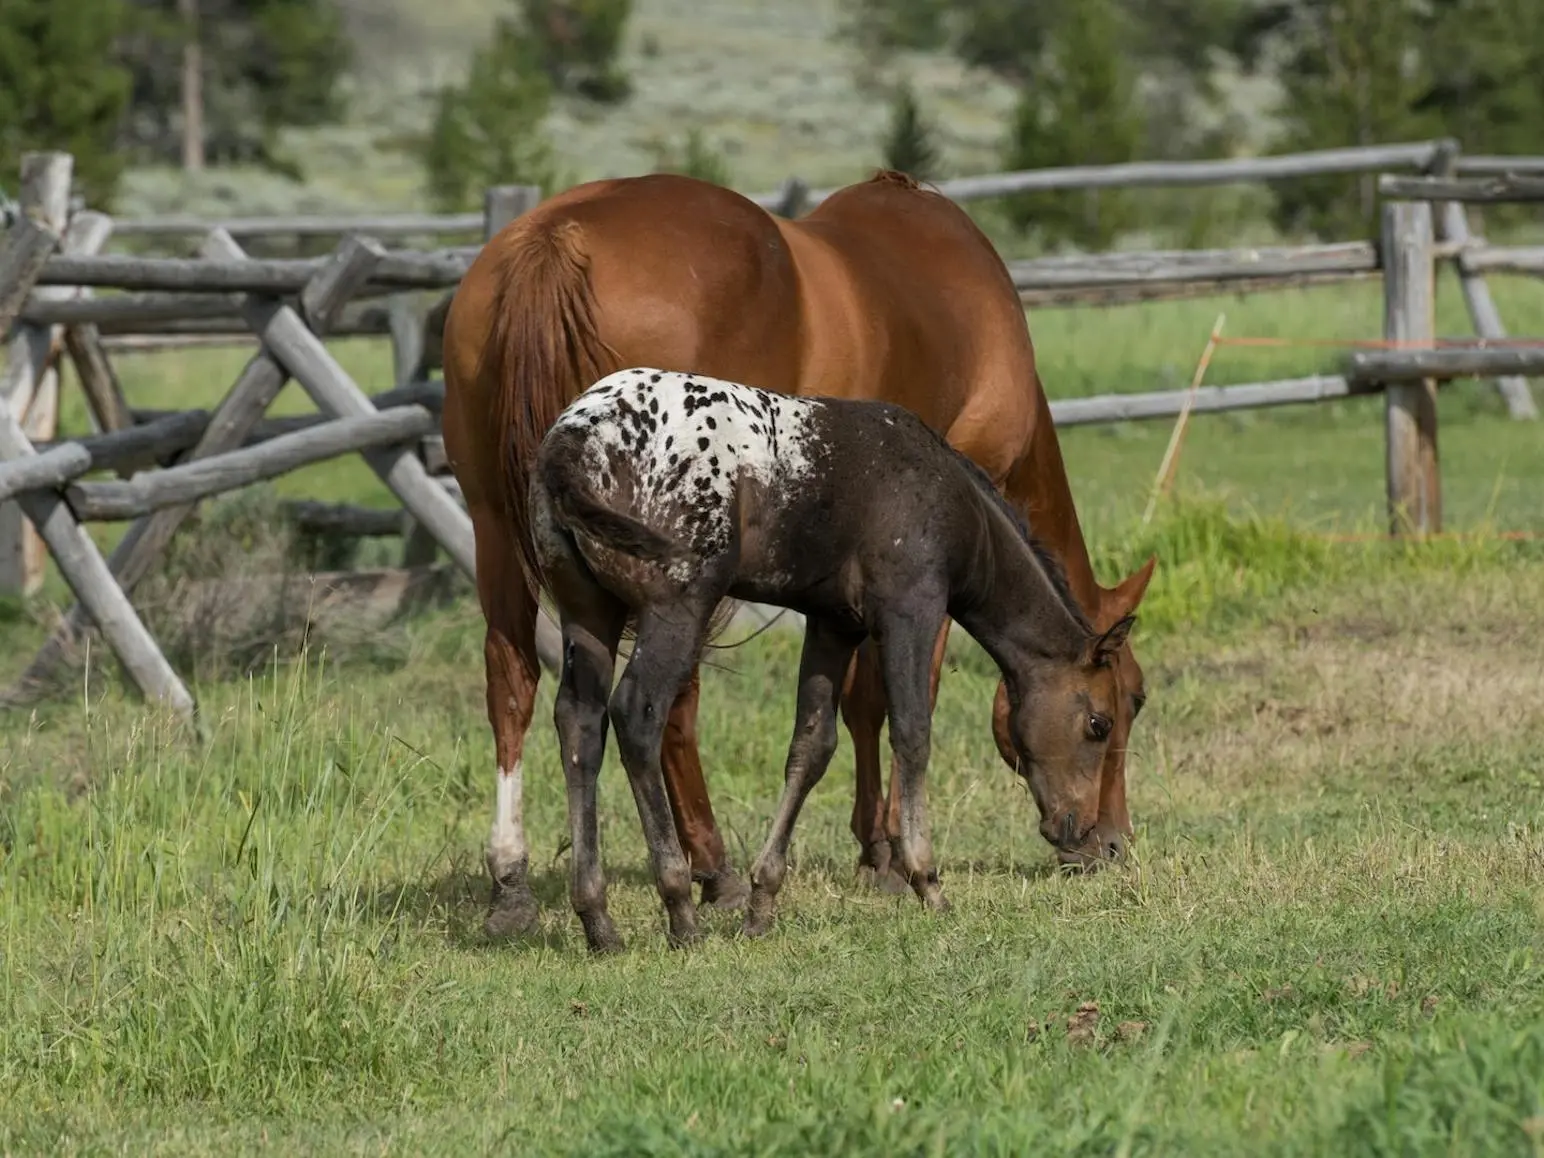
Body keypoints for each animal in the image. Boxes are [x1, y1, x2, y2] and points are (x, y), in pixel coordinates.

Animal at [441, 167, 1154, 938]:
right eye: (1111, 714)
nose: (1108, 843)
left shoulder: (835, 615)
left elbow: (816, 738)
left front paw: (786, 884)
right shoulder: (913, 601)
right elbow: (903, 716)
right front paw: (900, 864)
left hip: (514, 545)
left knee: (541, 701)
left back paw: (539, 895)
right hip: (681, 602)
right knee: (652, 710)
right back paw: (695, 884)